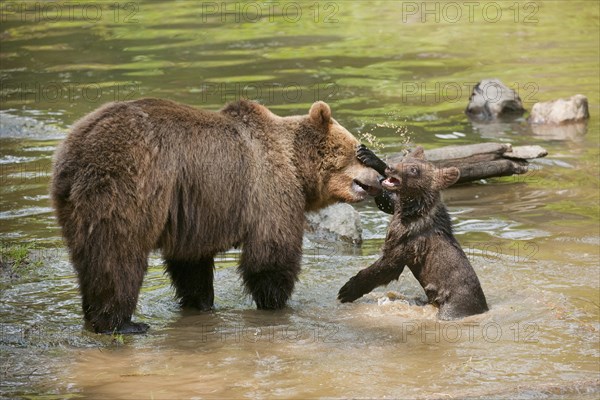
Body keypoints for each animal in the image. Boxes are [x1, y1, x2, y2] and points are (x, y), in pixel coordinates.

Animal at [51, 98, 380, 332]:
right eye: (357, 151)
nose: (380, 178)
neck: (297, 166)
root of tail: (76, 152)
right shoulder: (267, 189)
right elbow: (271, 254)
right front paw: (276, 302)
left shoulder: (195, 214)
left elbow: (191, 265)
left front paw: (201, 303)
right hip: (126, 185)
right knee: (118, 254)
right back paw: (121, 324)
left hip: (75, 207)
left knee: (90, 257)